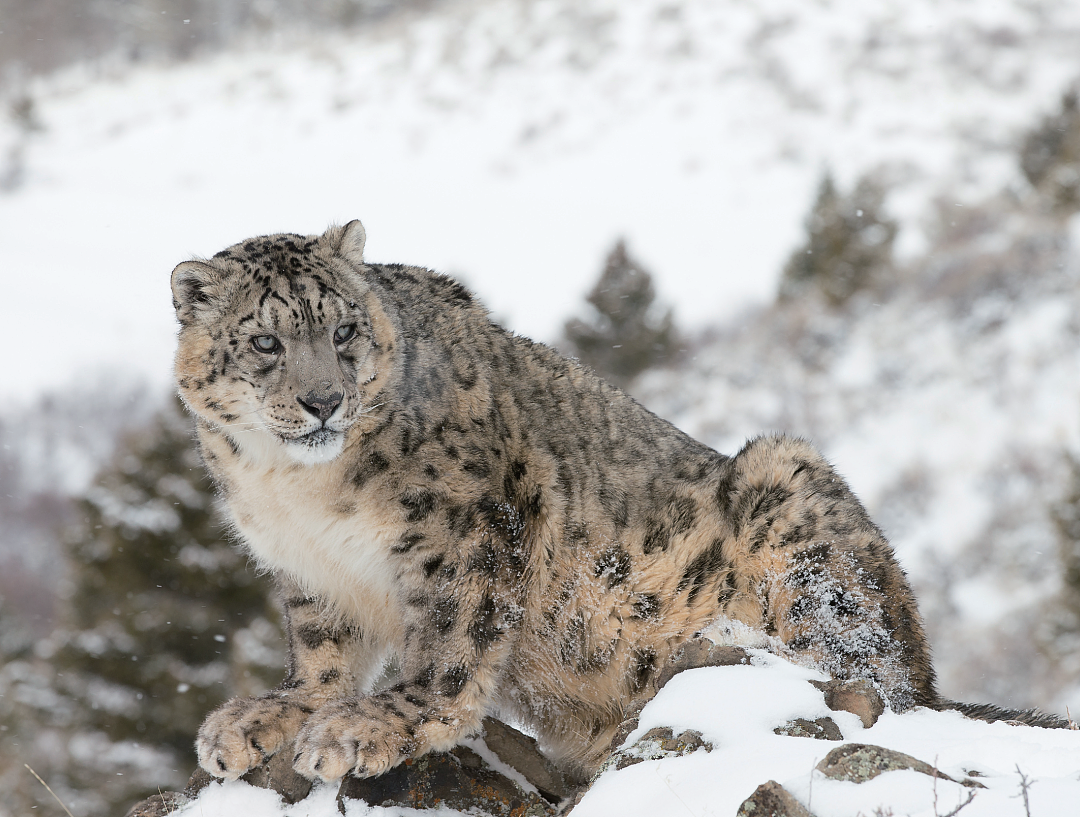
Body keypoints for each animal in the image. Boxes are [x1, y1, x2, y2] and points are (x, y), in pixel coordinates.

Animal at [174, 220, 1062, 786]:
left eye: (346, 329)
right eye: (266, 341)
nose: (324, 400)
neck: (299, 492)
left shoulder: (467, 530)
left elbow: (451, 644)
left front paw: (371, 725)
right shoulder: (310, 572)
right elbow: (322, 654)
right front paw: (270, 717)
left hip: (796, 499)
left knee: (866, 674)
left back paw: (724, 642)